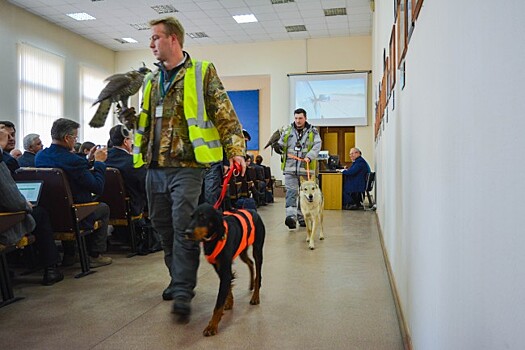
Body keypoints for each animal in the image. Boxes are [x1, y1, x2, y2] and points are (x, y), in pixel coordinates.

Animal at [185, 202, 266, 336]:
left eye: (203, 217)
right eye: (191, 217)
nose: (187, 232)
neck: (214, 237)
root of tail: (253, 210)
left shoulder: (225, 270)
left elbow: (218, 303)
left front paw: (212, 326)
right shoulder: (219, 268)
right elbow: (228, 287)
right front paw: (229, 302)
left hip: (258, 249)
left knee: (258, 273)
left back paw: (255, 296)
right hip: (242, 249)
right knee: (250, 263)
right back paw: (251, 285)